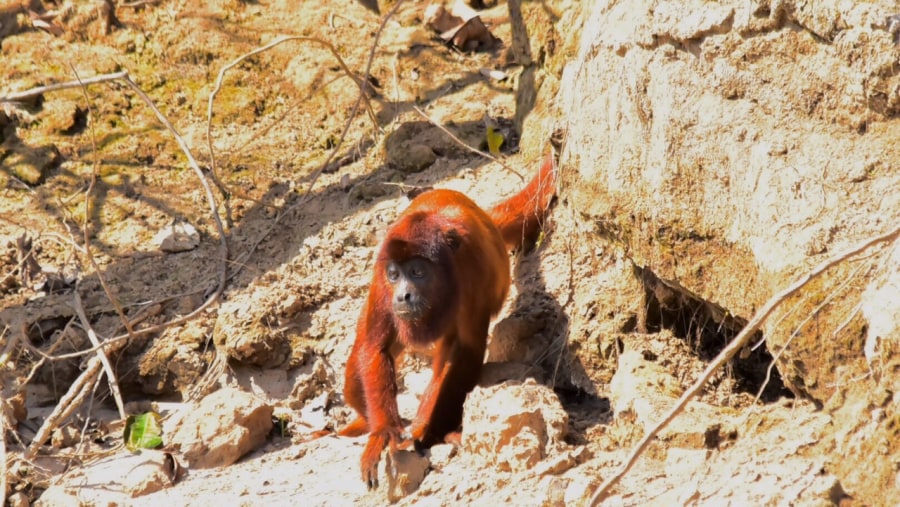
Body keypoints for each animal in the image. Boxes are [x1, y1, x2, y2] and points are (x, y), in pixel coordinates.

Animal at [342, 154, 560, 488]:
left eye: (417, 272)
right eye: (394, 274)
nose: (402, 296)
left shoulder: (473, 270)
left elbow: (465, 350)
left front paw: (427, 434)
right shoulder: (380, 278)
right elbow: (375, 346)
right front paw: (384, 432)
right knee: (357, 374)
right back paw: (365, 421)